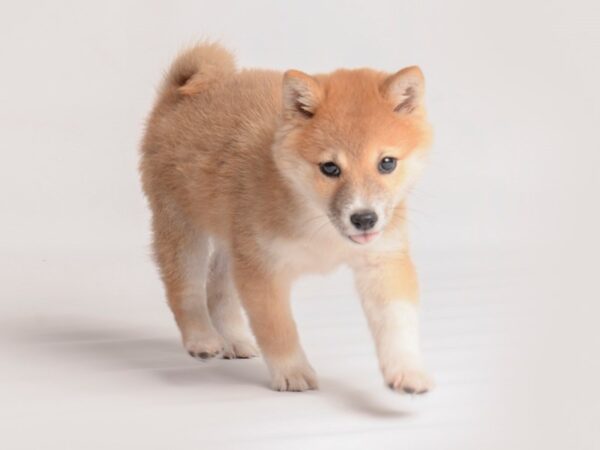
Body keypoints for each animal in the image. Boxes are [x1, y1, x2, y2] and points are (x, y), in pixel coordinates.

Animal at [139, 43, 432, 394]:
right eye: (330, 168)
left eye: (387, 163)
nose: (364, 219)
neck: (318, 221)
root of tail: (179, 92)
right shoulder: (263, 270)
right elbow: (279, 331)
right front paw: (293, 372)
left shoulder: (382, 262)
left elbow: (398, 326)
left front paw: (406, 370)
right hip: (183, 228)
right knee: (187, 291)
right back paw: (202, 339)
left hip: (231, 242)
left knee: (218, 291)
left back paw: (235, 340)